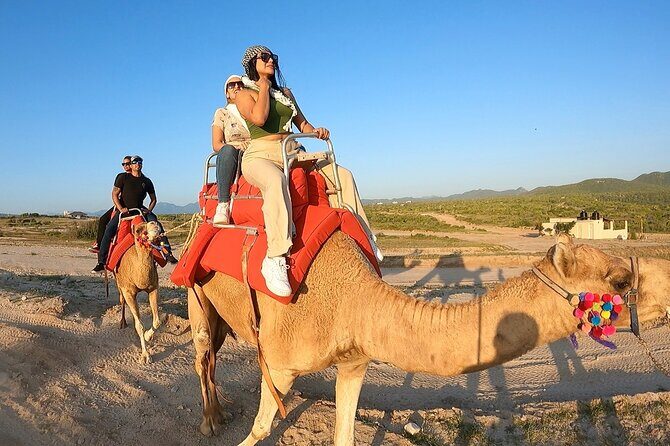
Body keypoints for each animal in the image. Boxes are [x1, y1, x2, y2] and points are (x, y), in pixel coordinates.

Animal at [116, 220, 163, 364]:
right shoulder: (129, 292)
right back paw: (123, 322)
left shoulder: (153, 288)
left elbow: (157, 321)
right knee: (122, 300)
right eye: (137, 230)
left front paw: (148, 336)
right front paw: (145, 355)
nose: (154, 224)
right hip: (119, 283)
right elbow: (139, 325)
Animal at [187, 231, 670, 445]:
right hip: (196, 291)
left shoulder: (354, 362)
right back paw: (210, 420)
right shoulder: (281, 364)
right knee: (203, 354)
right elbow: (259, 430)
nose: (667, 280)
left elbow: (344, 433)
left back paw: (222, 410)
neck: (352, 299)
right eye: (620, 279)